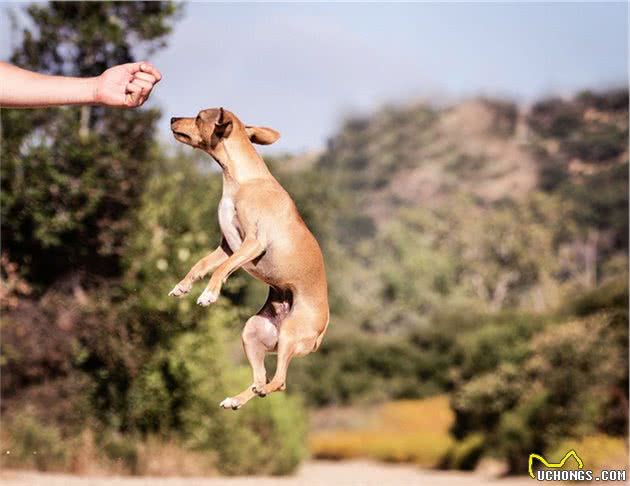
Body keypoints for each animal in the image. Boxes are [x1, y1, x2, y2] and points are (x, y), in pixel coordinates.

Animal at [168, 107, 330, 410]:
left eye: (199, 116)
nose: (172, 119)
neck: (241, 180)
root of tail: (322, 330)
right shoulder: (227, 247)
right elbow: (201, 265)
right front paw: (182, 286)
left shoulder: (252, 243)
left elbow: (221, 270)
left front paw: (208, 295)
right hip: (253, 333)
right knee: (260, 378)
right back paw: (236, 399)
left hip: (290, 334)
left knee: (277, 382)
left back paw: (258, 391)